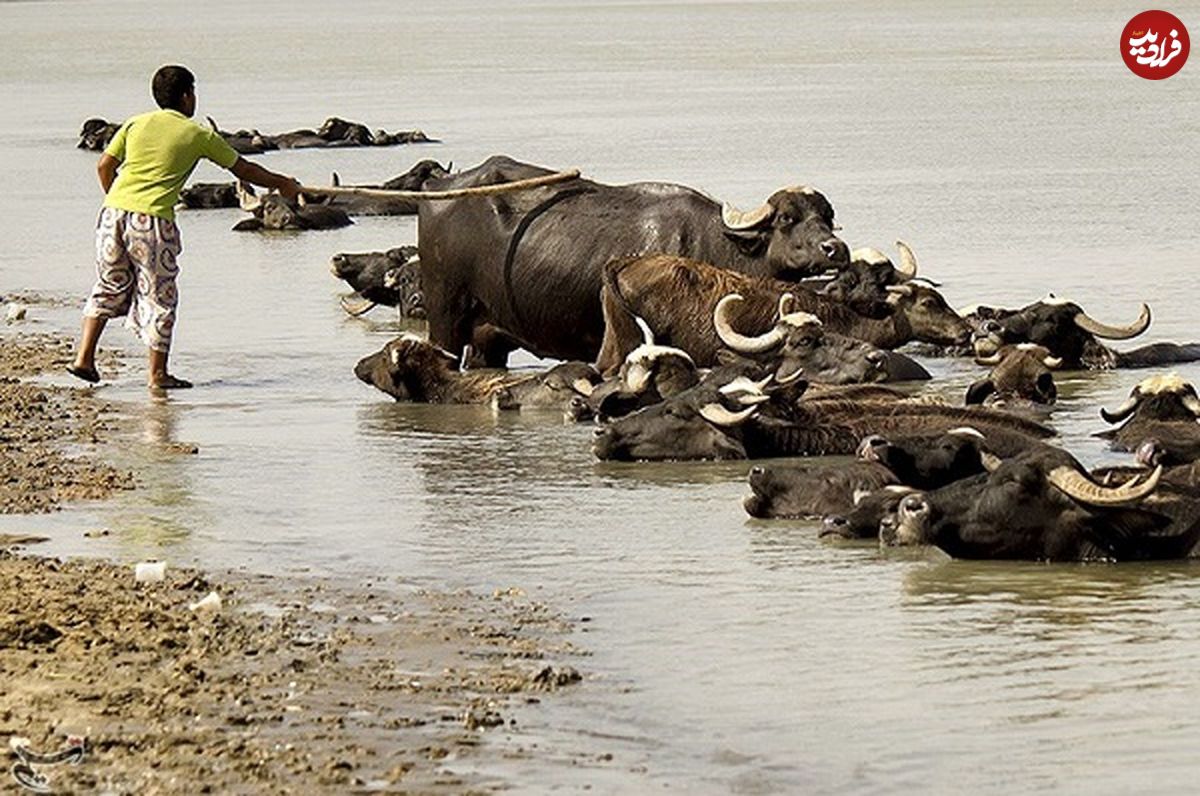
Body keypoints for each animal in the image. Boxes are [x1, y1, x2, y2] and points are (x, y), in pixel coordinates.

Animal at [420, 154, 854, 364]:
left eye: (827, 215)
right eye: (786, 218)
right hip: (445, 319)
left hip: (491, 339)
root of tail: (438, 188)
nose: (835, 249)